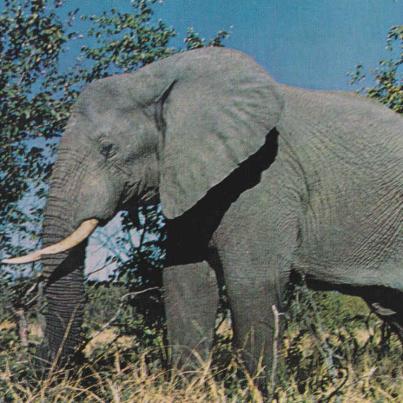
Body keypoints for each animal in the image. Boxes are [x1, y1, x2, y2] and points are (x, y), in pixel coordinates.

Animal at [2, 47, 400, 378]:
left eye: (107, 148)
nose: (23, 372)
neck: (156, 78)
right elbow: (185, 282)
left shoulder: (267, 176)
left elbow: (251, 283)